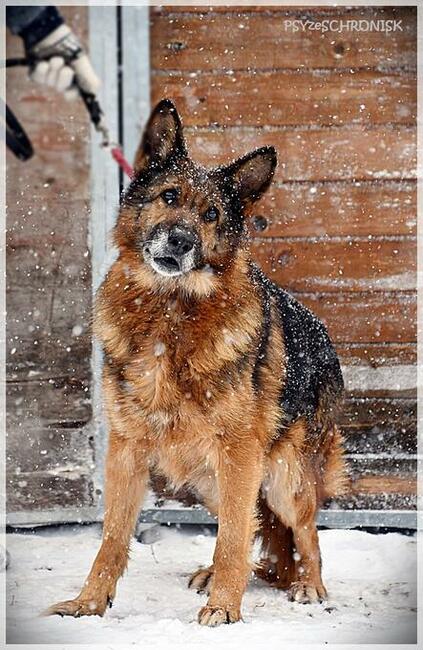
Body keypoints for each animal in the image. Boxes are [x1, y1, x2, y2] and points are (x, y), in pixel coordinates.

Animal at [49, 100, 348, 624]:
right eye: (169, 197)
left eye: (211, 214)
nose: (181, 240)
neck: (169, 313)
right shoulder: (126, 451)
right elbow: (112, 538)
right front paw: (89, 602)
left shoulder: (239, 451)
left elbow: (232, 538)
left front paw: (225, 609)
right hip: (208, 480)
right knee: (257, 527)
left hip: (282, 476)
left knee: (302, 533)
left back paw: (308, 585)